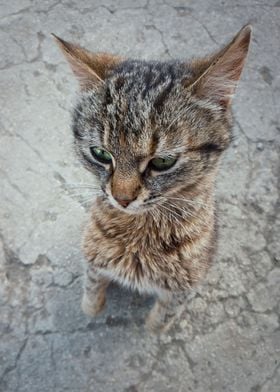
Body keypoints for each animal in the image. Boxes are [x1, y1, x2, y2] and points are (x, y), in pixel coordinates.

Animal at [53, 25, 252, 330]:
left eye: (162, 161)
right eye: (100, 153)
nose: (121, 198)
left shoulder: (185, 286)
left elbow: (164, 315)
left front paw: (154, 325)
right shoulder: (92, 253)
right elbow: (92, 281)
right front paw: (92, 305)